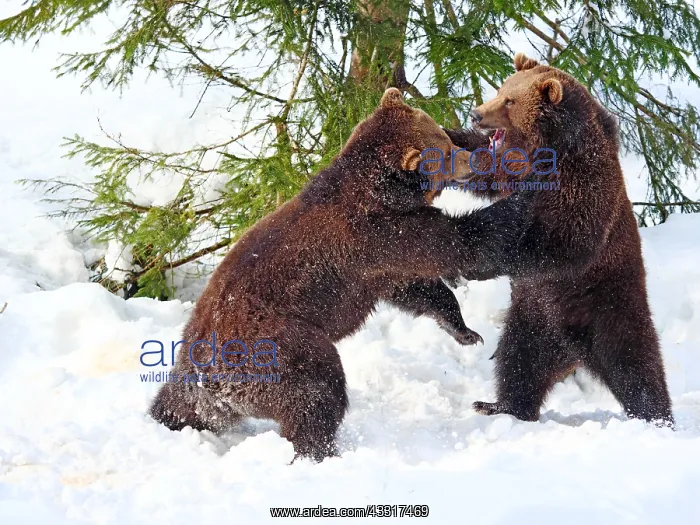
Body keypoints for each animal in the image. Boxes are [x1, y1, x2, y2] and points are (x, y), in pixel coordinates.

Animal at [149, 88, 519, 461]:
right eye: (445, 151)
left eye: (445, 137)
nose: (474, 158)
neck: (385, 194)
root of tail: (207, 370)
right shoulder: (382, 235)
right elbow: (454, 245)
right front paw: (510, 212)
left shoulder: (380, 262)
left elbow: (418, 289)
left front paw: (465, 331)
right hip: (277, 346)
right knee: (318, 389)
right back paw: (320, 449)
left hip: (201, 375)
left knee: (182, 402)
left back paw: (165, 417)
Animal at [444, 53, 674, 426]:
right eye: (501, 89)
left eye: (509, 101)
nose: (476, 113)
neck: (549, 148)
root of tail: (576, 352)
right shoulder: (513, 170)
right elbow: (483, 168)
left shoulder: (581, 187)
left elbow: (562, 244)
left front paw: (475, 265)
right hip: (534, 319)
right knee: (519, 361)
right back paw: (500, 406)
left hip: (610, 306)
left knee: (636, 366)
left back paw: (656, 418)